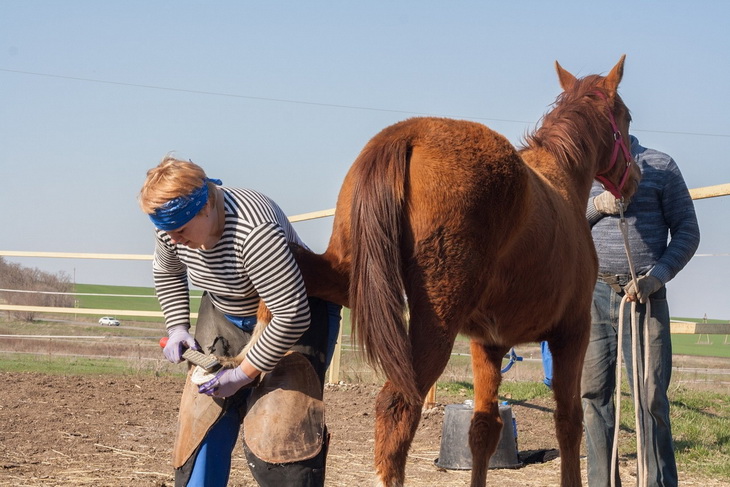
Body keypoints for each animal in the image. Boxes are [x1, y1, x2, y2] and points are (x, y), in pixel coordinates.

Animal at [288, 55, 636, 486]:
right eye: (626, 118)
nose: (634, 180)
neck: (563, 180)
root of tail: (408, 134)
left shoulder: (487, 343)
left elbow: (484, 428)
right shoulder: (571, 333)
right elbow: (569, 423)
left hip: (348, 275)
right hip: (435, 321)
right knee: (396, 409)